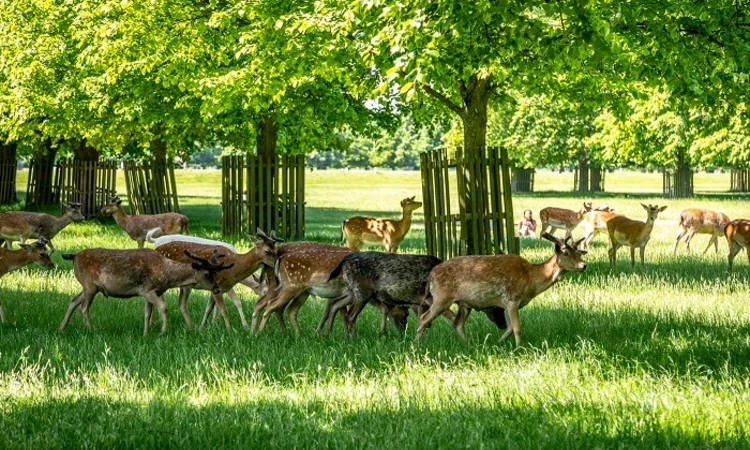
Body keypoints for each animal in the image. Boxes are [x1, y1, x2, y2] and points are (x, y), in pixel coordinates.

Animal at [60, 248, 234, 336]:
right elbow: (163, 307)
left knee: (73, 301)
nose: (217, 289)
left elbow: (147, 313)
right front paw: (162, 332)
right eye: (206, 274)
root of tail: (74, 257)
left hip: (88, 287)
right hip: (90, 285)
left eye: (216, 273)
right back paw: (91, 330)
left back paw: (61, 328)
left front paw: (145, 334)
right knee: (84, 307)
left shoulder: (148, 293)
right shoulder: (147, 289)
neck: (166, 275)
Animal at [418, 234, 588, 346]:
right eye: (566, 253)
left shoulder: (506, 305)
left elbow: (509, 328)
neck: (530, 280)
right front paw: (519, 348)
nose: (583, 265)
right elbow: (517, 328)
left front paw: (497, 343)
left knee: (457, 324)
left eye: (579, 253)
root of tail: (432, 274)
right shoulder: (512, 299)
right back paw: (417, 344)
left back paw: (468, 345)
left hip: (464, 304)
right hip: (442, 297)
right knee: (424, 318)